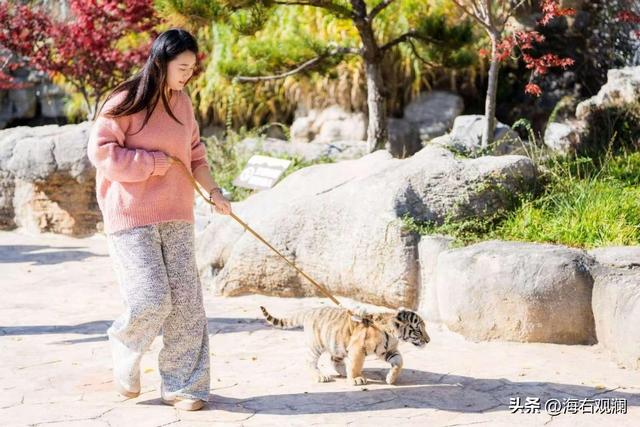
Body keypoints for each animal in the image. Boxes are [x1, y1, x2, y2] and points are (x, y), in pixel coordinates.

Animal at [259, 305, 430, 385]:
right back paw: (321, 376)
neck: (393, 335)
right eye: (418, 330)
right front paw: (356, 379)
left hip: (337, 344)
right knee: (309, 361)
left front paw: (391, 379)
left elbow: (399, 363)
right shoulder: (358, 348)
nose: (428, 340)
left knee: (334, 360)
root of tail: (310, 311)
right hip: (317, 345)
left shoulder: (389, 351)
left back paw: (342, 371)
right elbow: (356, 364)